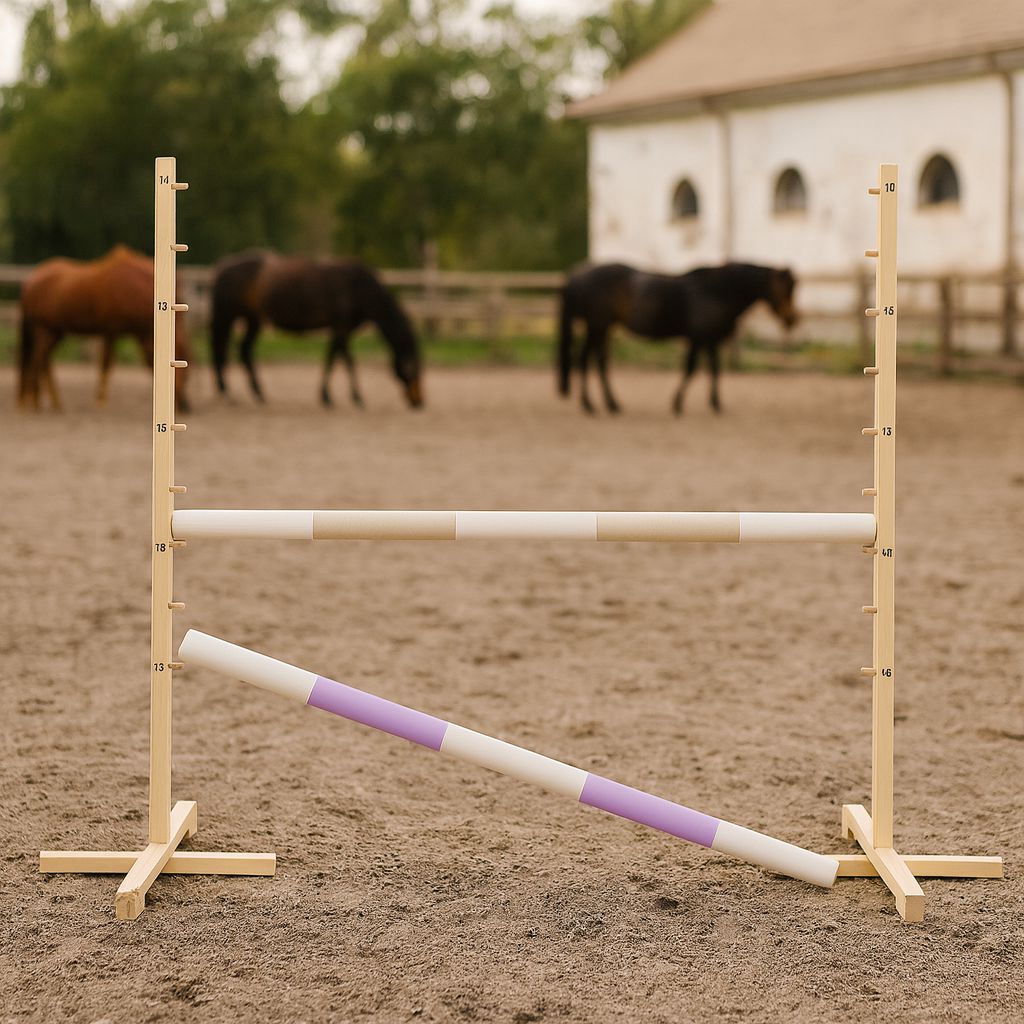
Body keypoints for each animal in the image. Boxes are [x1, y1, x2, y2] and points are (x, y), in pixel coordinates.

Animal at [17, 245, 192, 411]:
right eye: (180, 356)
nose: (186, 406)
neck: (133, 287)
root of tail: (32, 280)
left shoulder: (140, 334)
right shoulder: (110, 331)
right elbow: (106, 364)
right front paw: (100, 401)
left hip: (55, 332)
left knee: (44, 360)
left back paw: (53, 402)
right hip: (43, 329)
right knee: (37, 359)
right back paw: (34, 401)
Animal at [209, 251, 424, 409]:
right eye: (414, 368)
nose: (420, 401)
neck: (358, 286)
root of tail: (222, 266)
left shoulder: (342, 329)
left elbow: (334, 357)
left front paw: (328, 395)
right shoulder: (341, 327)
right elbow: (345, 360)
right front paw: (353, 397)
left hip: (252, 319)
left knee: (244, 351)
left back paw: (258, 394)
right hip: (226, 317)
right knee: (220, 350)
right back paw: (226, 392)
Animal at [557, 262, 799, 415]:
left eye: (793, 288)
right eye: (784, 289)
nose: (792, 319)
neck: (717, 292)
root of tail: (576, 274)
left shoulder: (707, 339)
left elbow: (712, 369)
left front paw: (714, 403)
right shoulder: (700, 337)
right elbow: (692, 368)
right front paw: (679, 403)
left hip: (601, 328)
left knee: (598, 362)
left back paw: (610, 404)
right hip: (597, 325)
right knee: (585, 360)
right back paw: (590, 405)